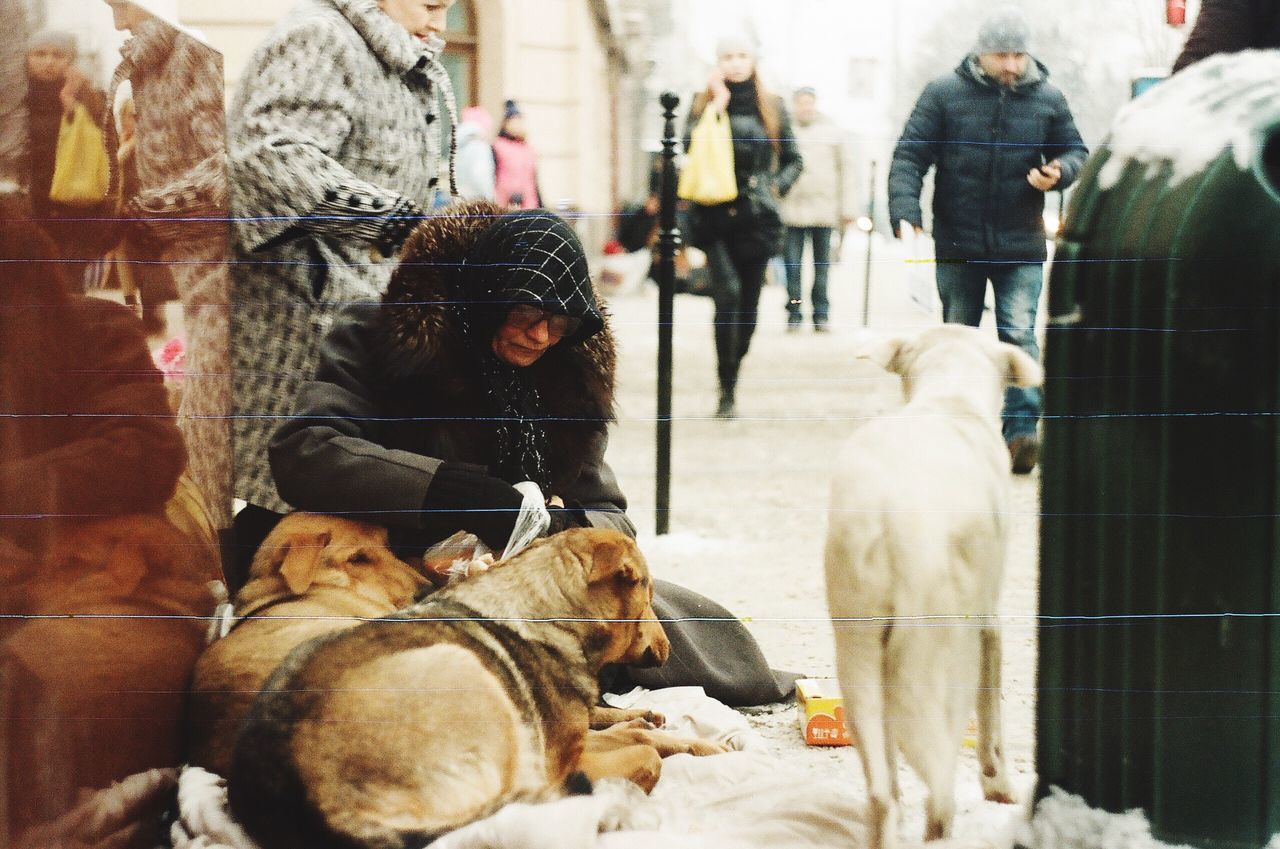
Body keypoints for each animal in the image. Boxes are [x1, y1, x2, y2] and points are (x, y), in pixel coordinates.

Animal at [226, 527, 727, 845]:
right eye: (646, 592)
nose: (668, 647)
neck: (543, 607)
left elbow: (648, 738)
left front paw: (703, 746)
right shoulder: (559, 760)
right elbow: (645, 754)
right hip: (466, 675)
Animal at [819, 325, 1039, 849]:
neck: (948, 394)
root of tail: (888, 513)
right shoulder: (988, 621)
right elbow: (992, 718)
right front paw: (1000, 787)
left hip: (858, 648)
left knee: (882, 790)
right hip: (939, 652)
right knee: (938, 786)